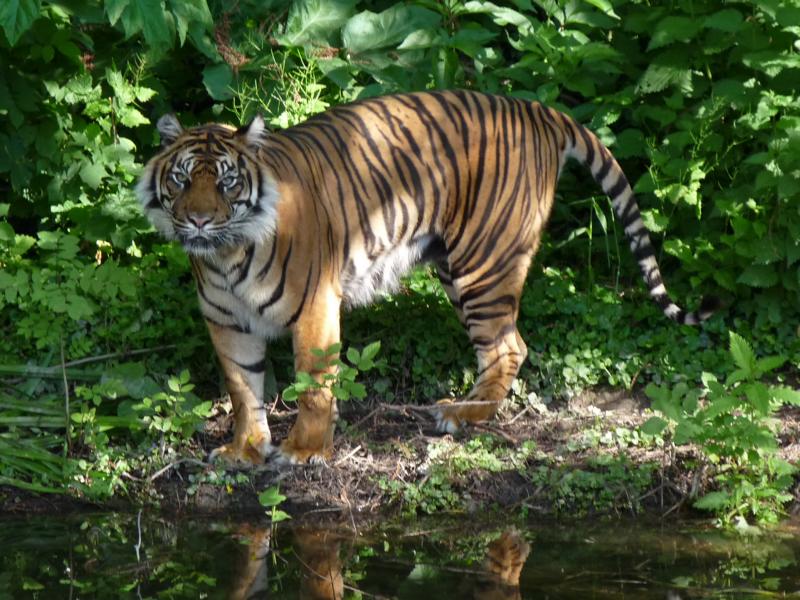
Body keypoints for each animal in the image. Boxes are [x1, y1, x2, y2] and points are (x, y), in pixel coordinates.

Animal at [136, 90, 714, 466]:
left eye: (228, 183)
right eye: (182, 180)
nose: (199, 221)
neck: (226, 255)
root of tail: (536, 109)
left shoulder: (315, 305)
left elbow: (314, 385)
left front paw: (304, 451)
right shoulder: (225, 321)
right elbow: (242, 387)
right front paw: (246, 449)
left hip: (485, 263)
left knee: (509, 346)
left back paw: (463, 415)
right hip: (457, 267)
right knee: (508, 346)